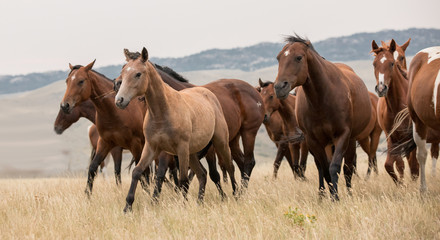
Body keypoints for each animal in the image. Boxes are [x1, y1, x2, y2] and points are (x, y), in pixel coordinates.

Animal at [58, 60, 149, 197]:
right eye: (67, 81)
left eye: (81, 81)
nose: (65, 105)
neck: (116, 111)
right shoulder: (105, 143)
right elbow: (93, 168)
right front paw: (88, 196)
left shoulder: (134, 145)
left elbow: (139, 171)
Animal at [113, 47, 237, 212]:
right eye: (123, 70)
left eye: (138, 74)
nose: (119, 100)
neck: (163, 112)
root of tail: (209, 94)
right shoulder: (152, 147)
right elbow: (137, 172)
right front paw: (127, 206)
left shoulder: (180, 148)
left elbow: (182, 180)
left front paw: (183, 206)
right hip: (192, 153)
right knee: (202, 174)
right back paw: (200, 202)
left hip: (219, 143)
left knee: (229, 167)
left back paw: (237, 195)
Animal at [274, 35, 372, 201]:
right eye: (278, 58)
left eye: (299, 57)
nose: (279, 87)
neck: (322, 99)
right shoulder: (313, 140)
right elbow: (325, 170)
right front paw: (332, 196)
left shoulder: (343, 135)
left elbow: (335, 167)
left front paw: (337, 197)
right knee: (321, 167)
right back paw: (321, 195)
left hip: (350, 140)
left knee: (348, 168)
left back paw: (349, 193)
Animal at [372, 39, 420, 184]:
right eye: (374, 64)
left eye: (392, 63)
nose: (381, 88)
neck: (396, 106)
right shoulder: (392, 138)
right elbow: (393, 165)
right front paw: (401, 184)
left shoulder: (410, 138)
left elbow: (413, 165)